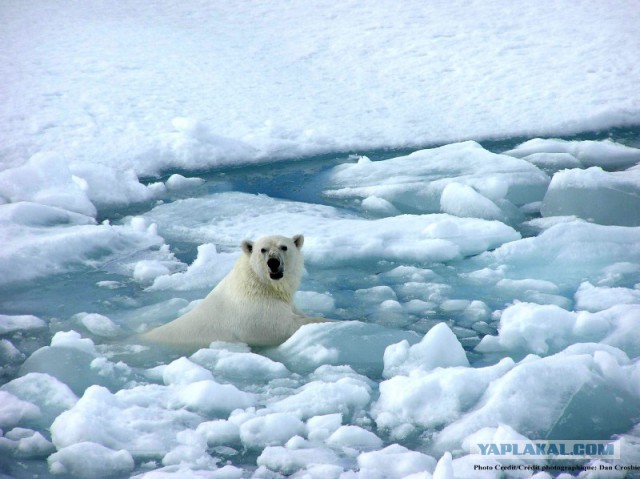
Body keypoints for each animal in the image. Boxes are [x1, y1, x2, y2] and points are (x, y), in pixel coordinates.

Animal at [142, 235, 328, 348]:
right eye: (263, 249)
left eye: (284, 247)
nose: (273, 262)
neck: (259, 286)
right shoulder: (255, 313)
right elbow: (284, 326)